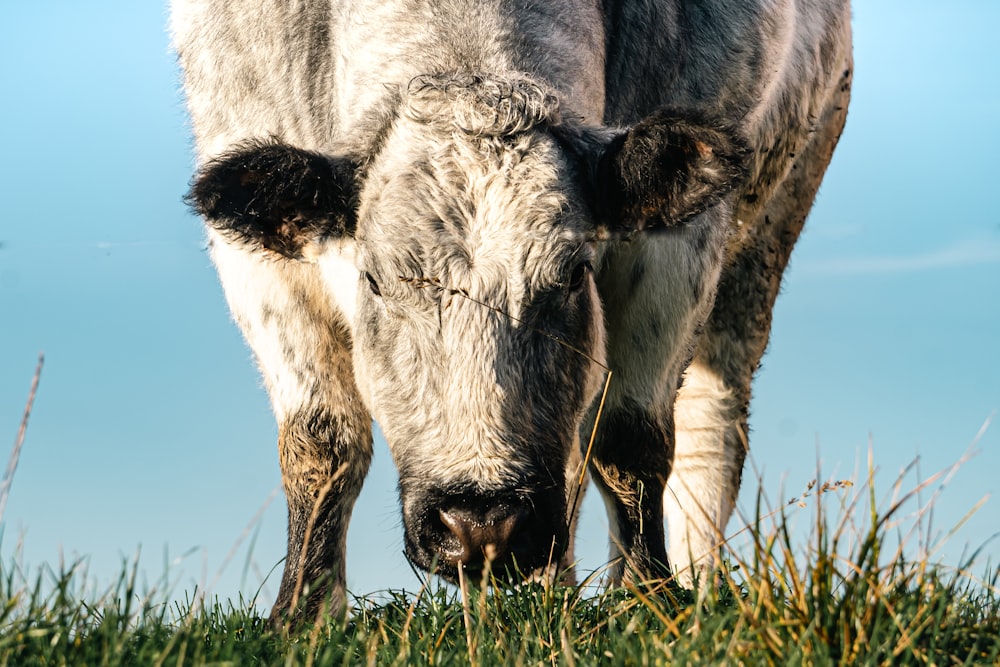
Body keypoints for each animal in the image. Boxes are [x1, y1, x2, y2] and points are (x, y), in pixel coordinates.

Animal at [170, 1, 852, 628]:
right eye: (375, 279)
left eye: (573, 273)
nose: (482, 522)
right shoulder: (256, 240)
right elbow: (323, 441)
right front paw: (302, 618)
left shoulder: (681, 237)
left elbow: (629, 438)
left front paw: (647, 603)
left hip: (770, 226)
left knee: (708, 434)